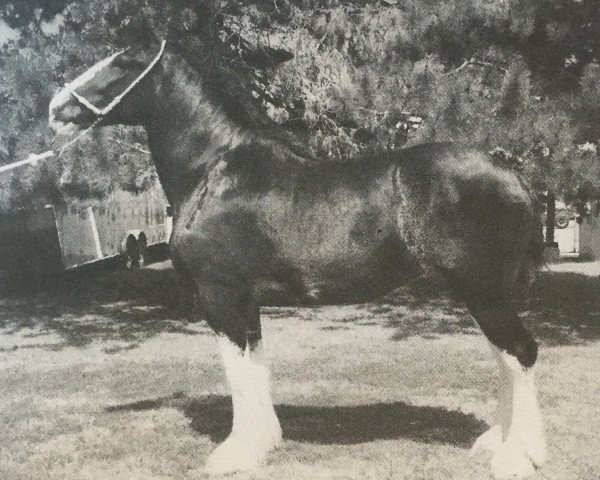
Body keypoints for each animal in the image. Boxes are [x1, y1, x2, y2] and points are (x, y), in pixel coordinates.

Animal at [49, 36, 548, 476]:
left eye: (125, 62)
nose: (55, 109)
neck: (216, 172)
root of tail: (508, 170)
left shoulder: (221, 295)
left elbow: (238, 374)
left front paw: (235, 455)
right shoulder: (245, 300)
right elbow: (255, 368)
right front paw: (265, 442)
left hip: (485, 291)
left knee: (521, 352)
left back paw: (518, 457)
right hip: (481, 293)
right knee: (505, 357)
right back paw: (497, 443)